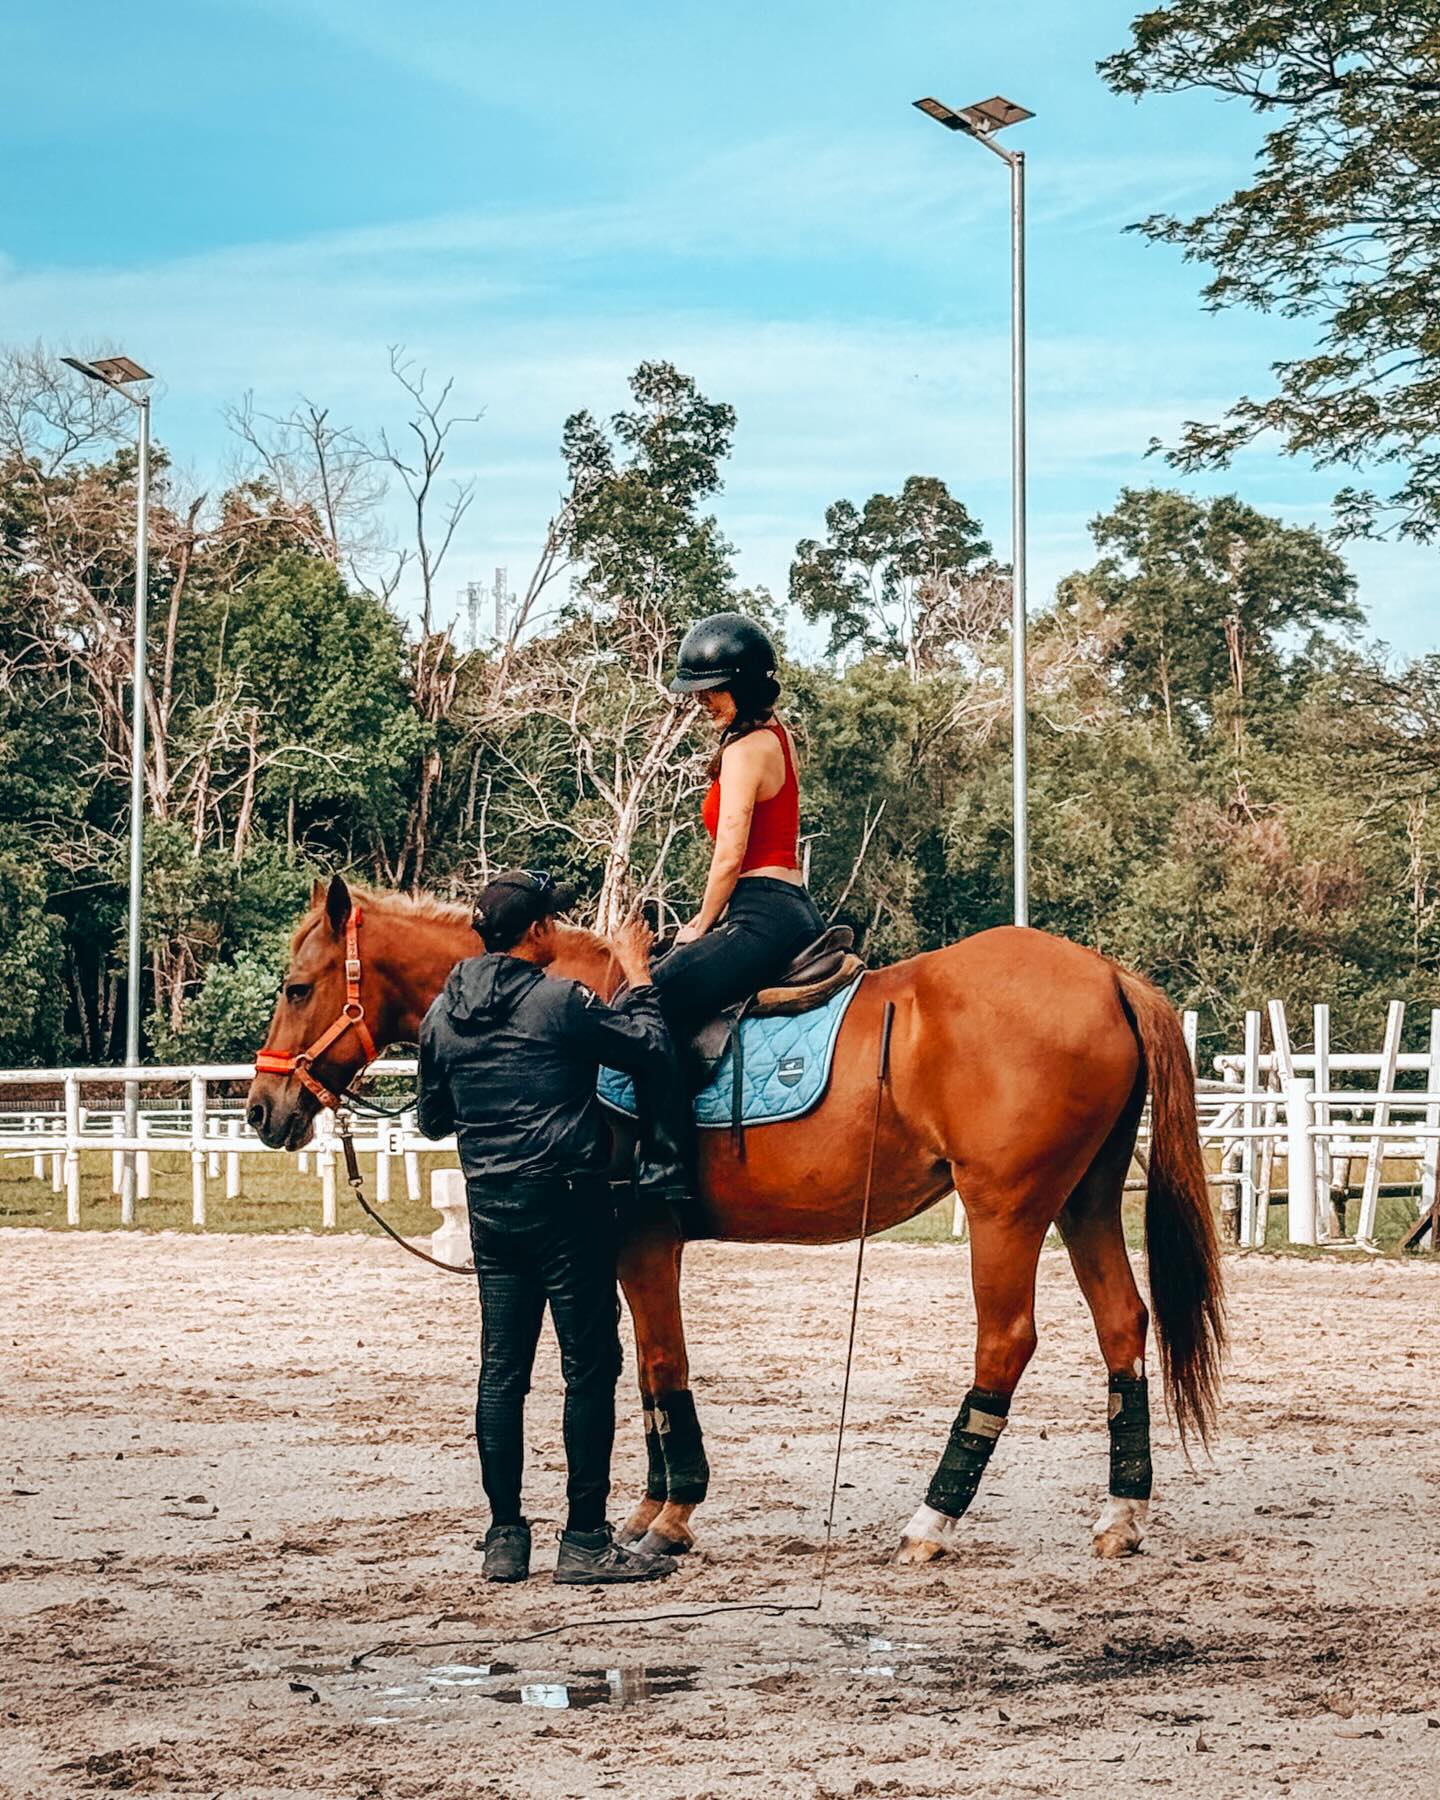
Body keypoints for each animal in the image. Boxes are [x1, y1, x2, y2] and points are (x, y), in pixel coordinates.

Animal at [248, 875, 1224, 1566]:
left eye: (296, 987)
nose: (264, 1109)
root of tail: (1105, 972)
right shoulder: (623, 1248)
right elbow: (647, 1374)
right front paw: (651, 1506)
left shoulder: (639, 1242)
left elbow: (659, 1364)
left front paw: (671, 1513)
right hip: (1081, 1200)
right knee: (1122, 1325)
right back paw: (1122, 1514)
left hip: (1006, 1209)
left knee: (1005, 1343)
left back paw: (931, 1519)